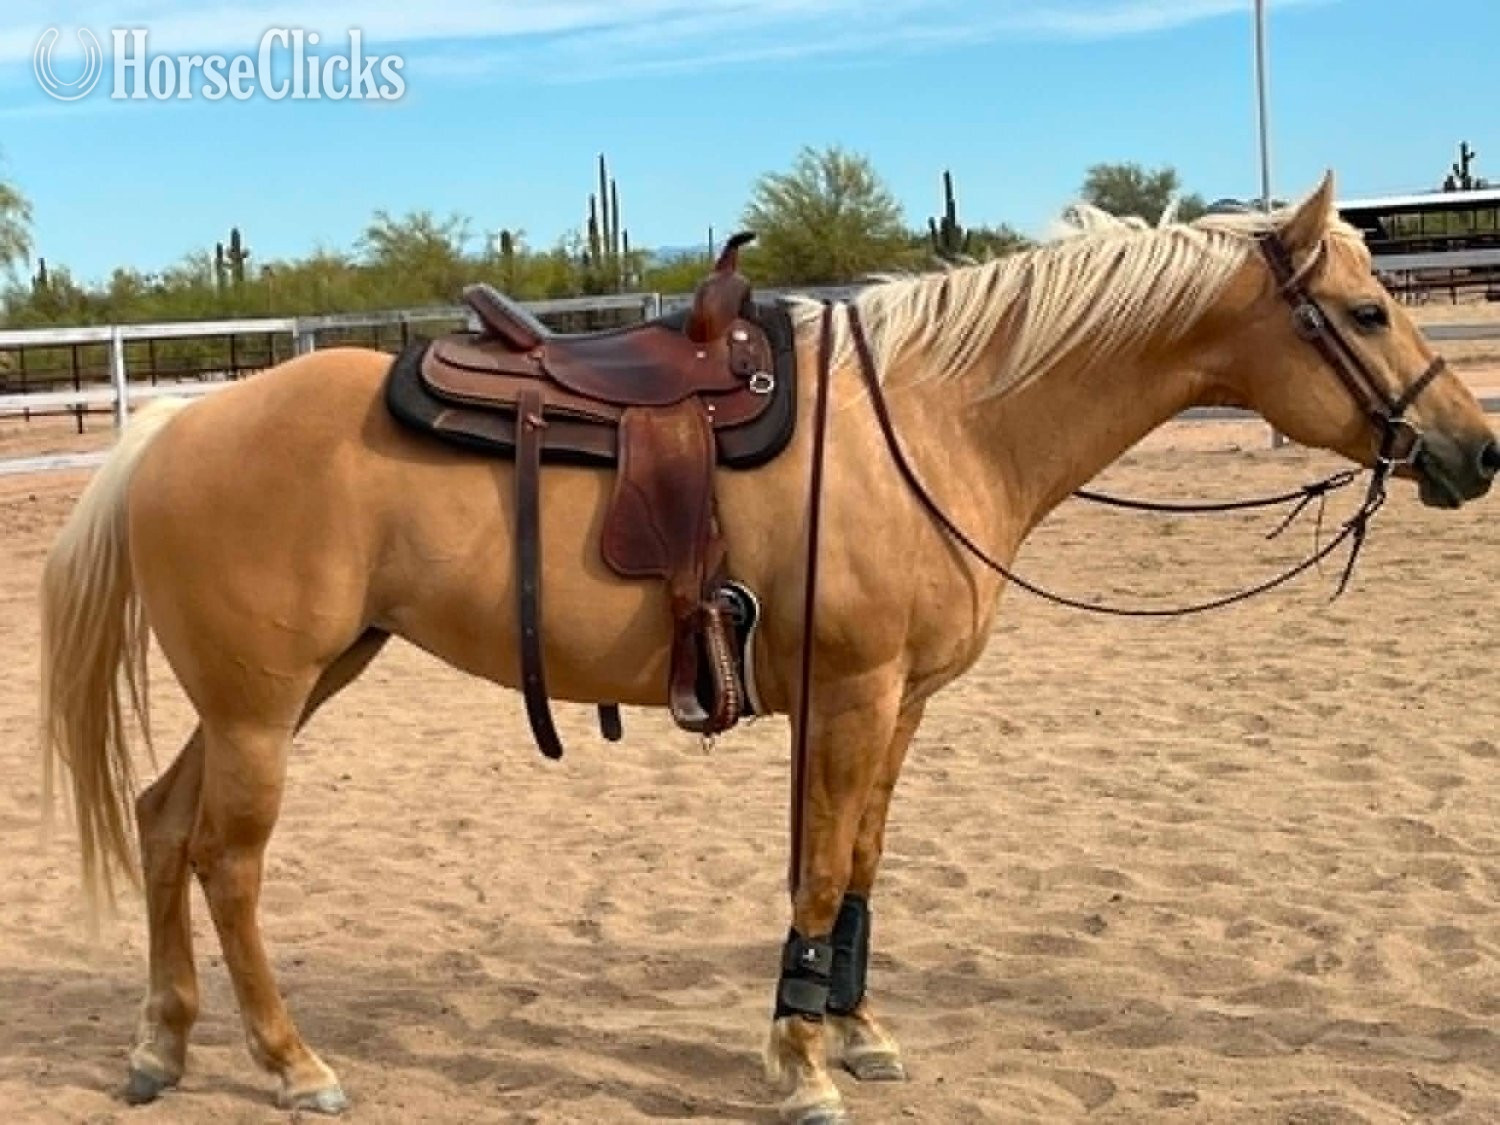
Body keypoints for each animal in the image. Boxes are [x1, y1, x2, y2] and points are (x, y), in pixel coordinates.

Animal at [37, 172, 1497, 1124]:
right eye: (1368, 315)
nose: (1473, 451)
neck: (936, 422)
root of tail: (175, 425)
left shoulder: (898, 705)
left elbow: (855, 870)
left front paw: (854, 1031)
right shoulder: (848, 695)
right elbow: (819, 873)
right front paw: (798, 1065)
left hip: (284, 690)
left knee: (161, 825)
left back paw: (163, 1048)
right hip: (265, 708)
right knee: (226, 862)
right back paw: (293, 1065)